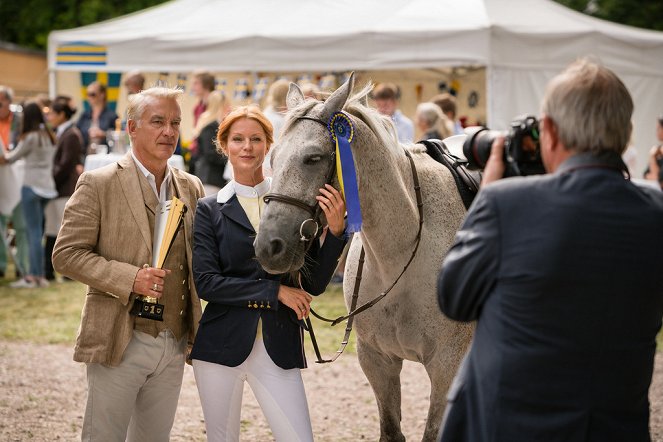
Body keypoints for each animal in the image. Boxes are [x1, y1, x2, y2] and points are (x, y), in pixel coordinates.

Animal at [255, 74, 478, 440]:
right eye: (272, 157)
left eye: (313, 158)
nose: (268, 247)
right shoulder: (377, 361)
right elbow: (390, 430)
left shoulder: (446, 366)